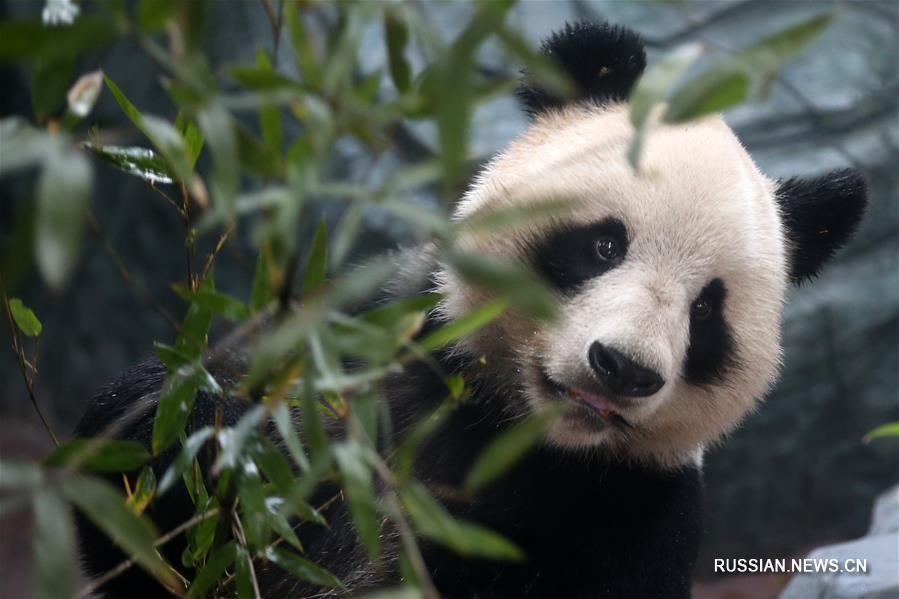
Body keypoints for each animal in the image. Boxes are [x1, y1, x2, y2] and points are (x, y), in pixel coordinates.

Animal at [79, 19, 872, 599]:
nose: (622, 368)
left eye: (705, 311)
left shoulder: (632, 512)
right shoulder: (375, 344)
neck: (503, 423)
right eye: (604, 244)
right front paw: (186, 426)